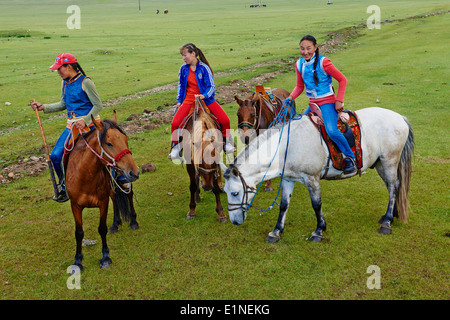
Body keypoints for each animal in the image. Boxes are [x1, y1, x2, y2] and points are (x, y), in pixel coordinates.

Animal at [64, 112, 139, 270]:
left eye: (126, 139)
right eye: (109, 143)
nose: (134, 172)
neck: (85, 176)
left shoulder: (103, 202)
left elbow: (102, 228)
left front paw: (105, 257)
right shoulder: (75, 205)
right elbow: (79, 232)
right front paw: (78, 260)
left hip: (123, 178)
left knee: (128, 194)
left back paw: (133, 221)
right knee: (115, 197)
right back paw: (115, 224)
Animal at [221, 107, 414, 242]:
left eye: (235, 193)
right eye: (226, 191)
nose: (235, 221)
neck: (287, 146)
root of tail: (400, 117)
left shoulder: (311, 178)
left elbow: (316, 204)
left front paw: (319, 230)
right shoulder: (288, 179)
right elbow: (283, 205)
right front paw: (275, 231)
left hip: (389, 160)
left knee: (393, 187)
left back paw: (387, 222)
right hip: (381, 163)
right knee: (394, 186)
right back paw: (391, 216)